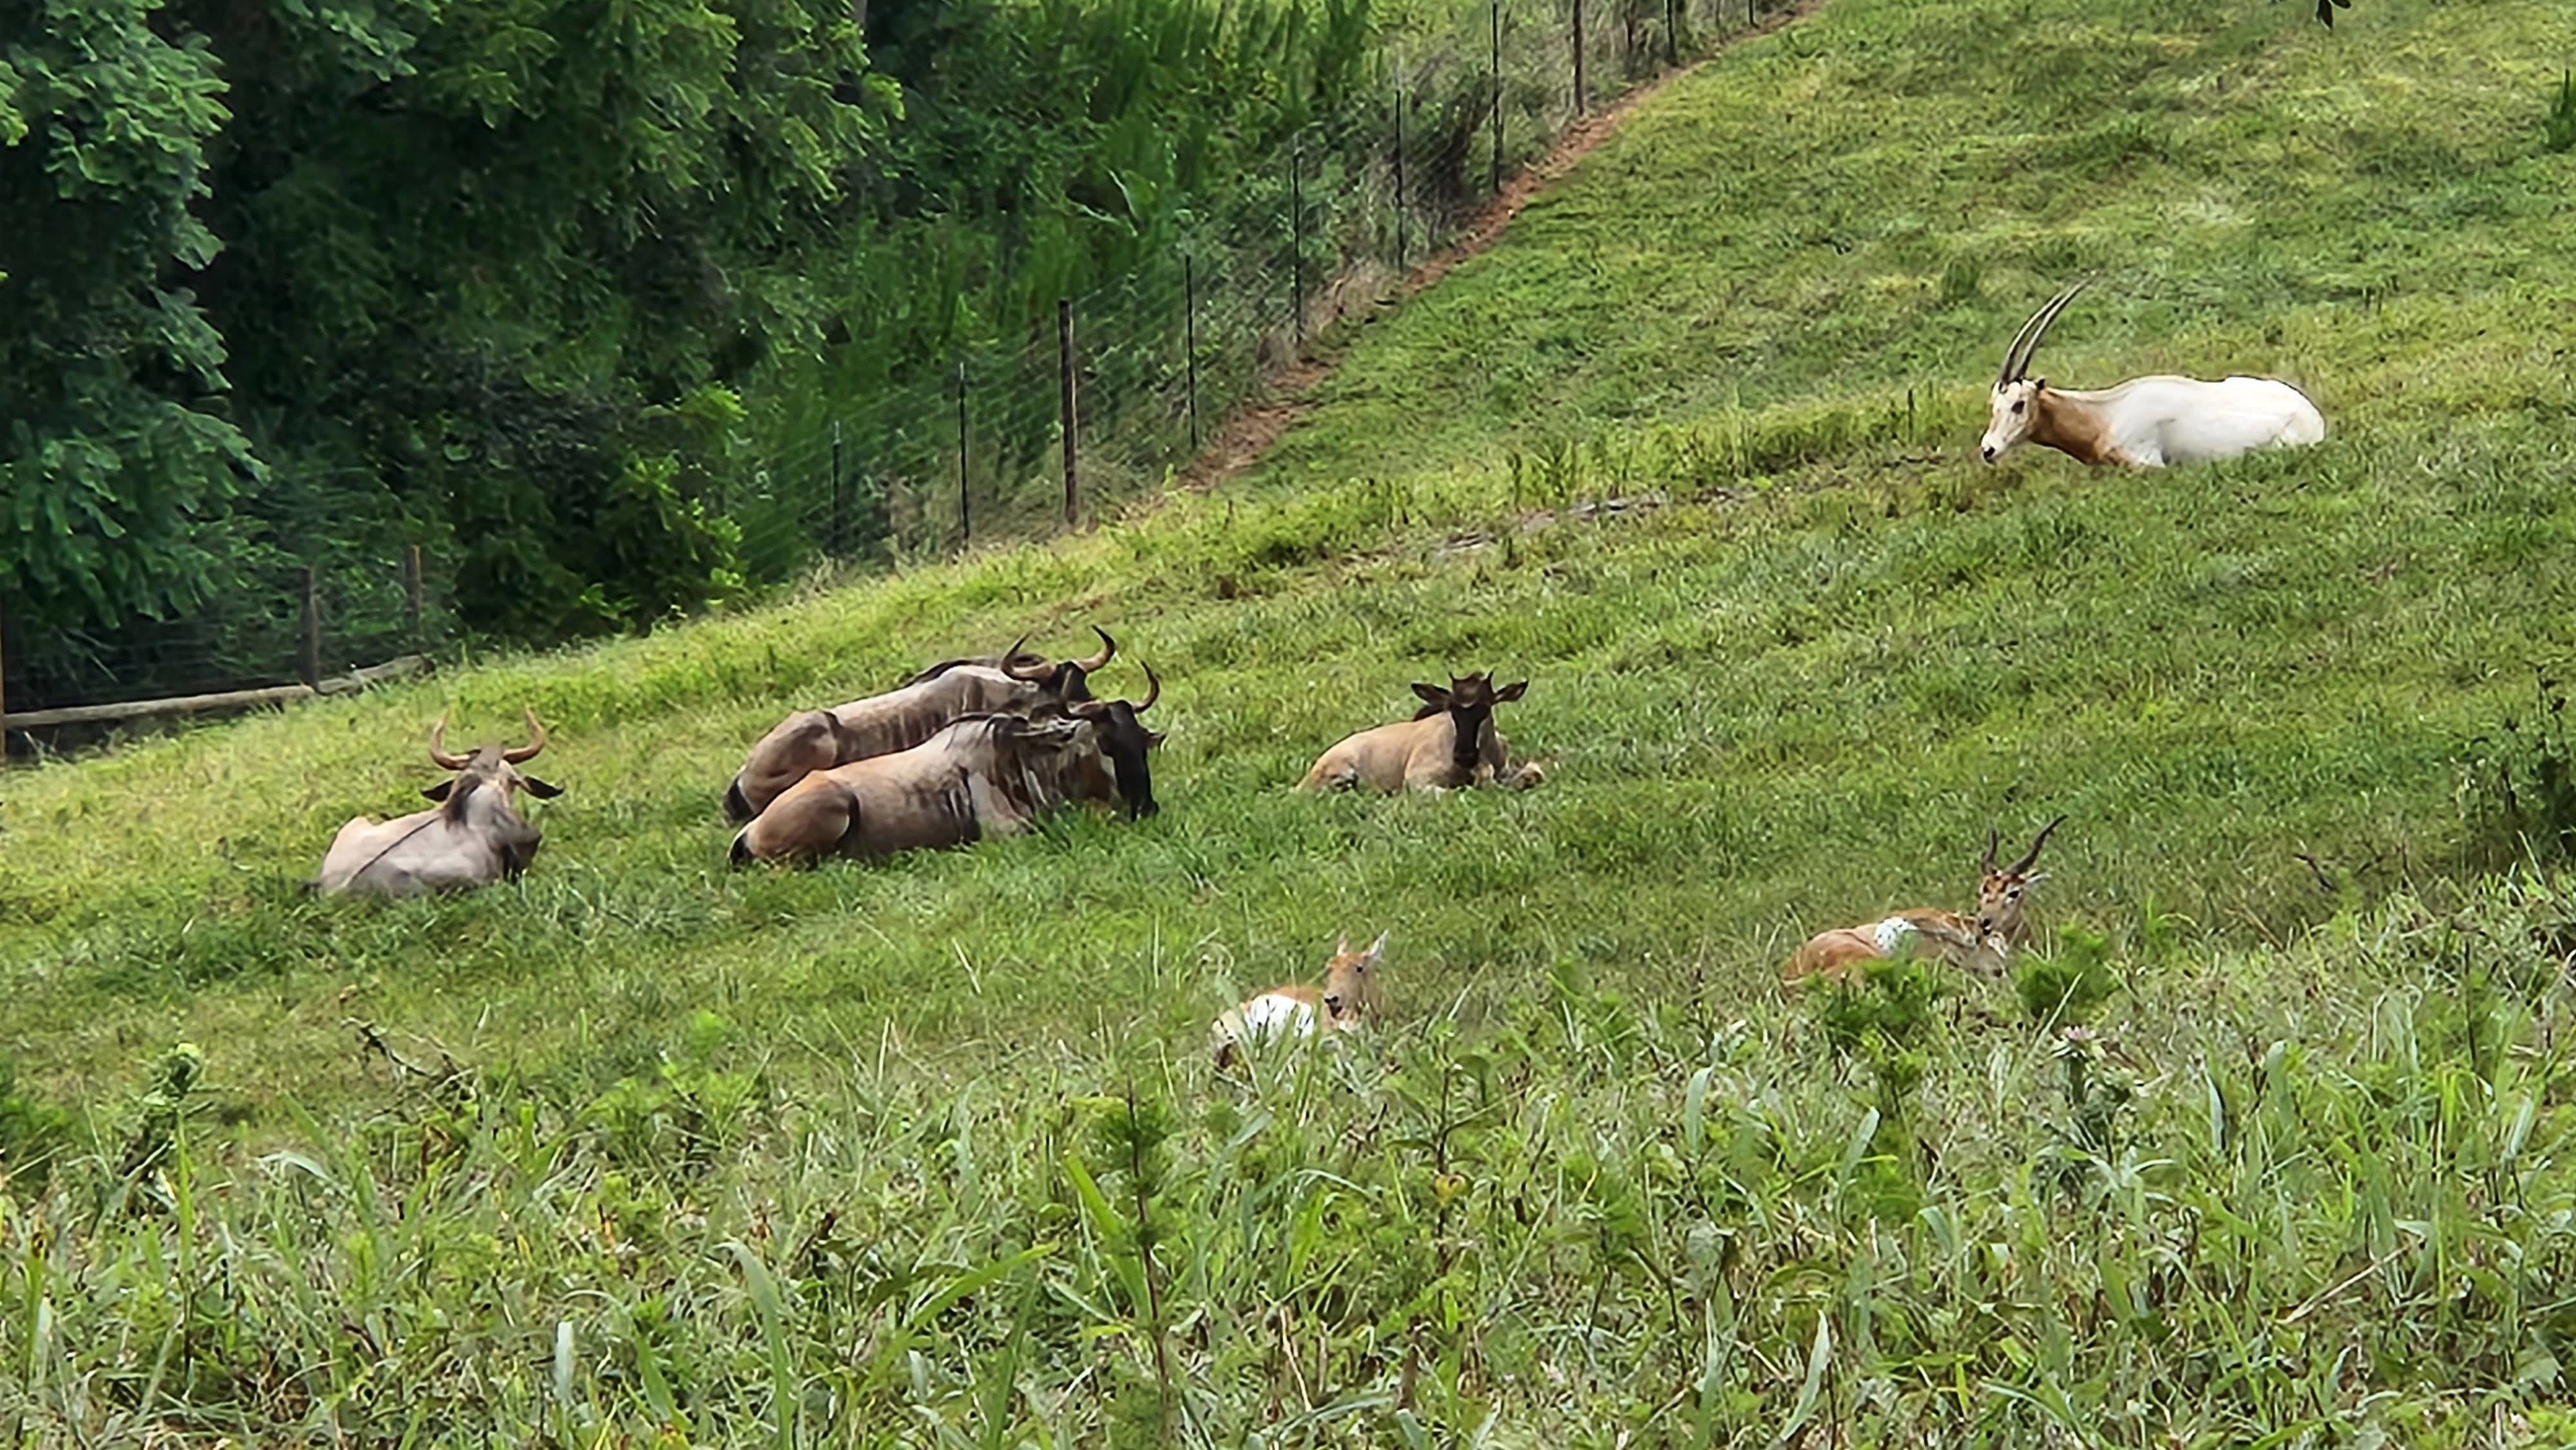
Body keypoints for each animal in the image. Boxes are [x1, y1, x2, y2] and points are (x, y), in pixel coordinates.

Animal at [1980, 282, 2325, 469]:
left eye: (2019, 404)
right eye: (1994, 405)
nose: (1988, 449)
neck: (2106, 414)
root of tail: (2313, 415)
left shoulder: (2147, 463)